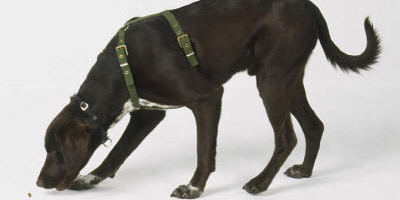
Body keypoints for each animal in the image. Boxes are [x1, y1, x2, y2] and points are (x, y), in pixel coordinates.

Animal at [36, 0, 382, 198]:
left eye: (56, 152)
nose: (39, 183)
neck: (122, 65)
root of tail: (308, 5)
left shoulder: (207, 99)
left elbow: (204, 150)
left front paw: (193, 188)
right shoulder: (147, 114)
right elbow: (117, 153)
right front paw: (91, 178)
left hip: (271, 81)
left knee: (287, 137)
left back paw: (260, 183)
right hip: (289, 80)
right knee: (314, 126)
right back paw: (304, 172)